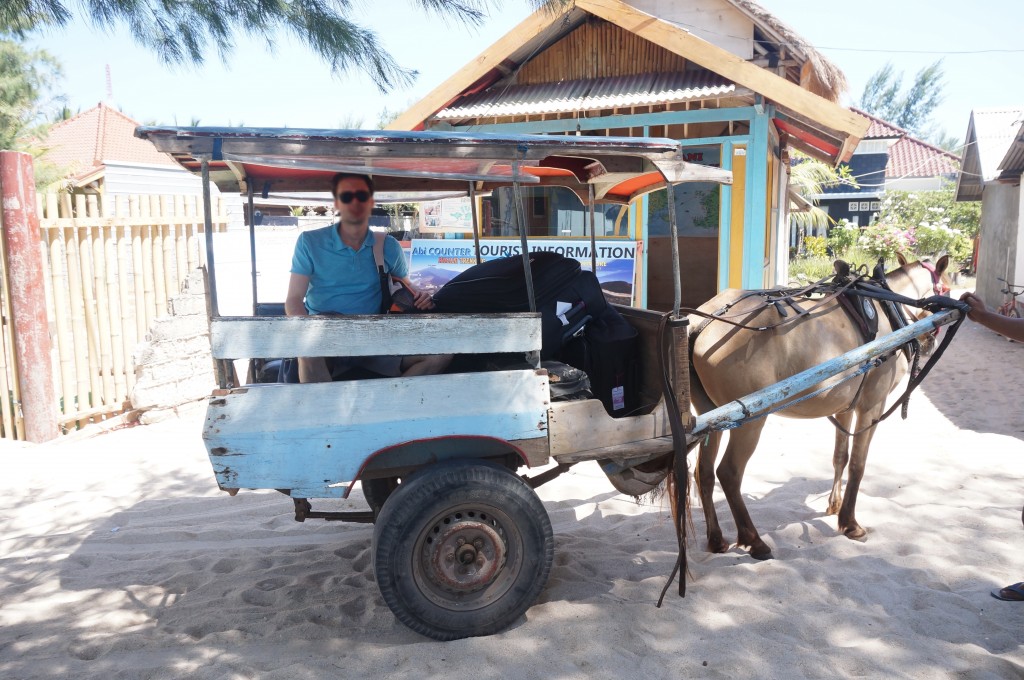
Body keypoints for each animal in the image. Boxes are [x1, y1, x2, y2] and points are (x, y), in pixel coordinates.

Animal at [688, 253, 950, 557]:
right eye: (947, 288)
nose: (929, 342)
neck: (886, 307)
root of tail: (701, 323)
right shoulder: (871, 406)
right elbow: (858, 464)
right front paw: (850, 523)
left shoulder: (845, 407)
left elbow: (841, 457)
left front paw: (835, 507)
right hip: (749, 420)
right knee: (729, 473)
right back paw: (754, 540)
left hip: (711, 415)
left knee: (704, 472)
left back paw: (716, 539)